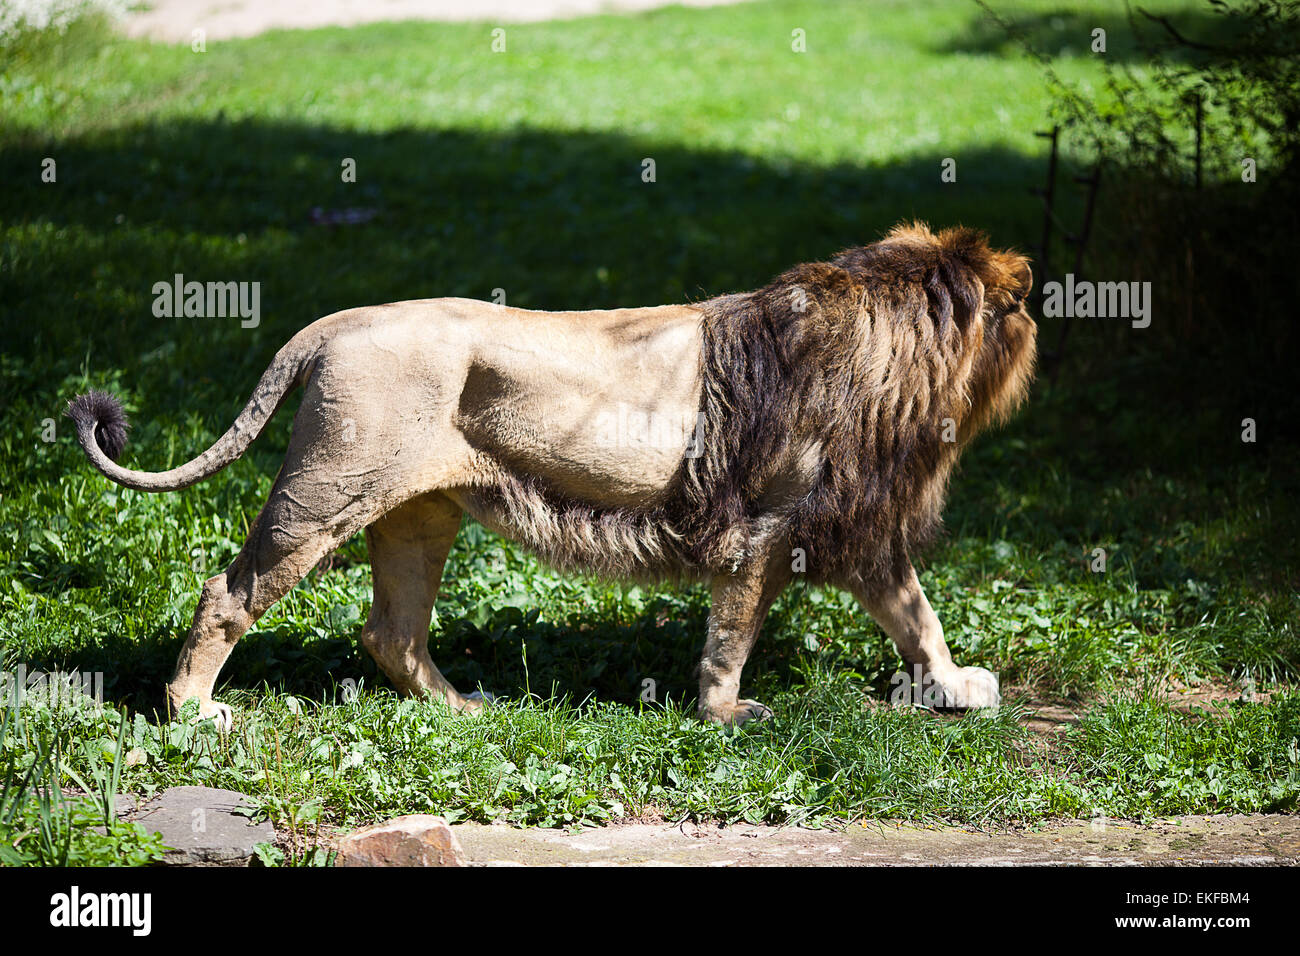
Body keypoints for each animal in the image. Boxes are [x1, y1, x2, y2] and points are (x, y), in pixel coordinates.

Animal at [67, 222, 1036, 730]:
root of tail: (333, 322)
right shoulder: (765, 528)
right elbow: (732, 638)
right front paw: (726, 718)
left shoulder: (856, 529)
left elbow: (919, 616)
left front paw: (955, 687)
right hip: (324, 496)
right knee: (225, 594)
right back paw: (191, 712)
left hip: (419, 514)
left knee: (390, 630)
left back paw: (463, 710)